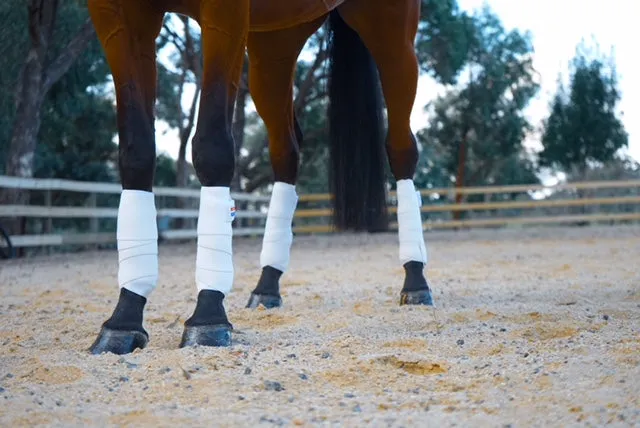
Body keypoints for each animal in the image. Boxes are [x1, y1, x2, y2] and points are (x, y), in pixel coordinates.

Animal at [87, 0, 432, 354]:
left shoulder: (224, 14)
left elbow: (212, 147)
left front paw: (208, 316)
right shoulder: (118, 15)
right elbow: (136, 151)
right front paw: (123, 319)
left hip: (390, 28)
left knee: (401, 147)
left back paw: (416, 280)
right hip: (275, 44)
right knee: (286, 153)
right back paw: (267, 286)